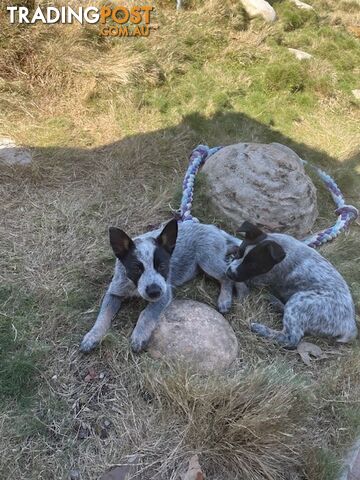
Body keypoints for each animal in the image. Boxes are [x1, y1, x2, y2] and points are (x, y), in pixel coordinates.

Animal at [80, 218, 245, 352]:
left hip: (207, 259)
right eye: (136, 269)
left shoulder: (164, 293)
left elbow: (147, 313)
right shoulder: (114, 291)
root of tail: (213, 228)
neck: (134, 287)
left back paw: (225, 299)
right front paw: (92, 336)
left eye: (162, 266)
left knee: (227, 276)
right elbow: (103, 315)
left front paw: (139, 336)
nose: (154, 291)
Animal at [226, 221, 356, 348]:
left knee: (291, 338)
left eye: (253, 266)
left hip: (300, 300)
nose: (229, 273)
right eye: (239, 252)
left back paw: (260, 328)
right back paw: (275, 302)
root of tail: (349, 327)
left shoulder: (263, 278)